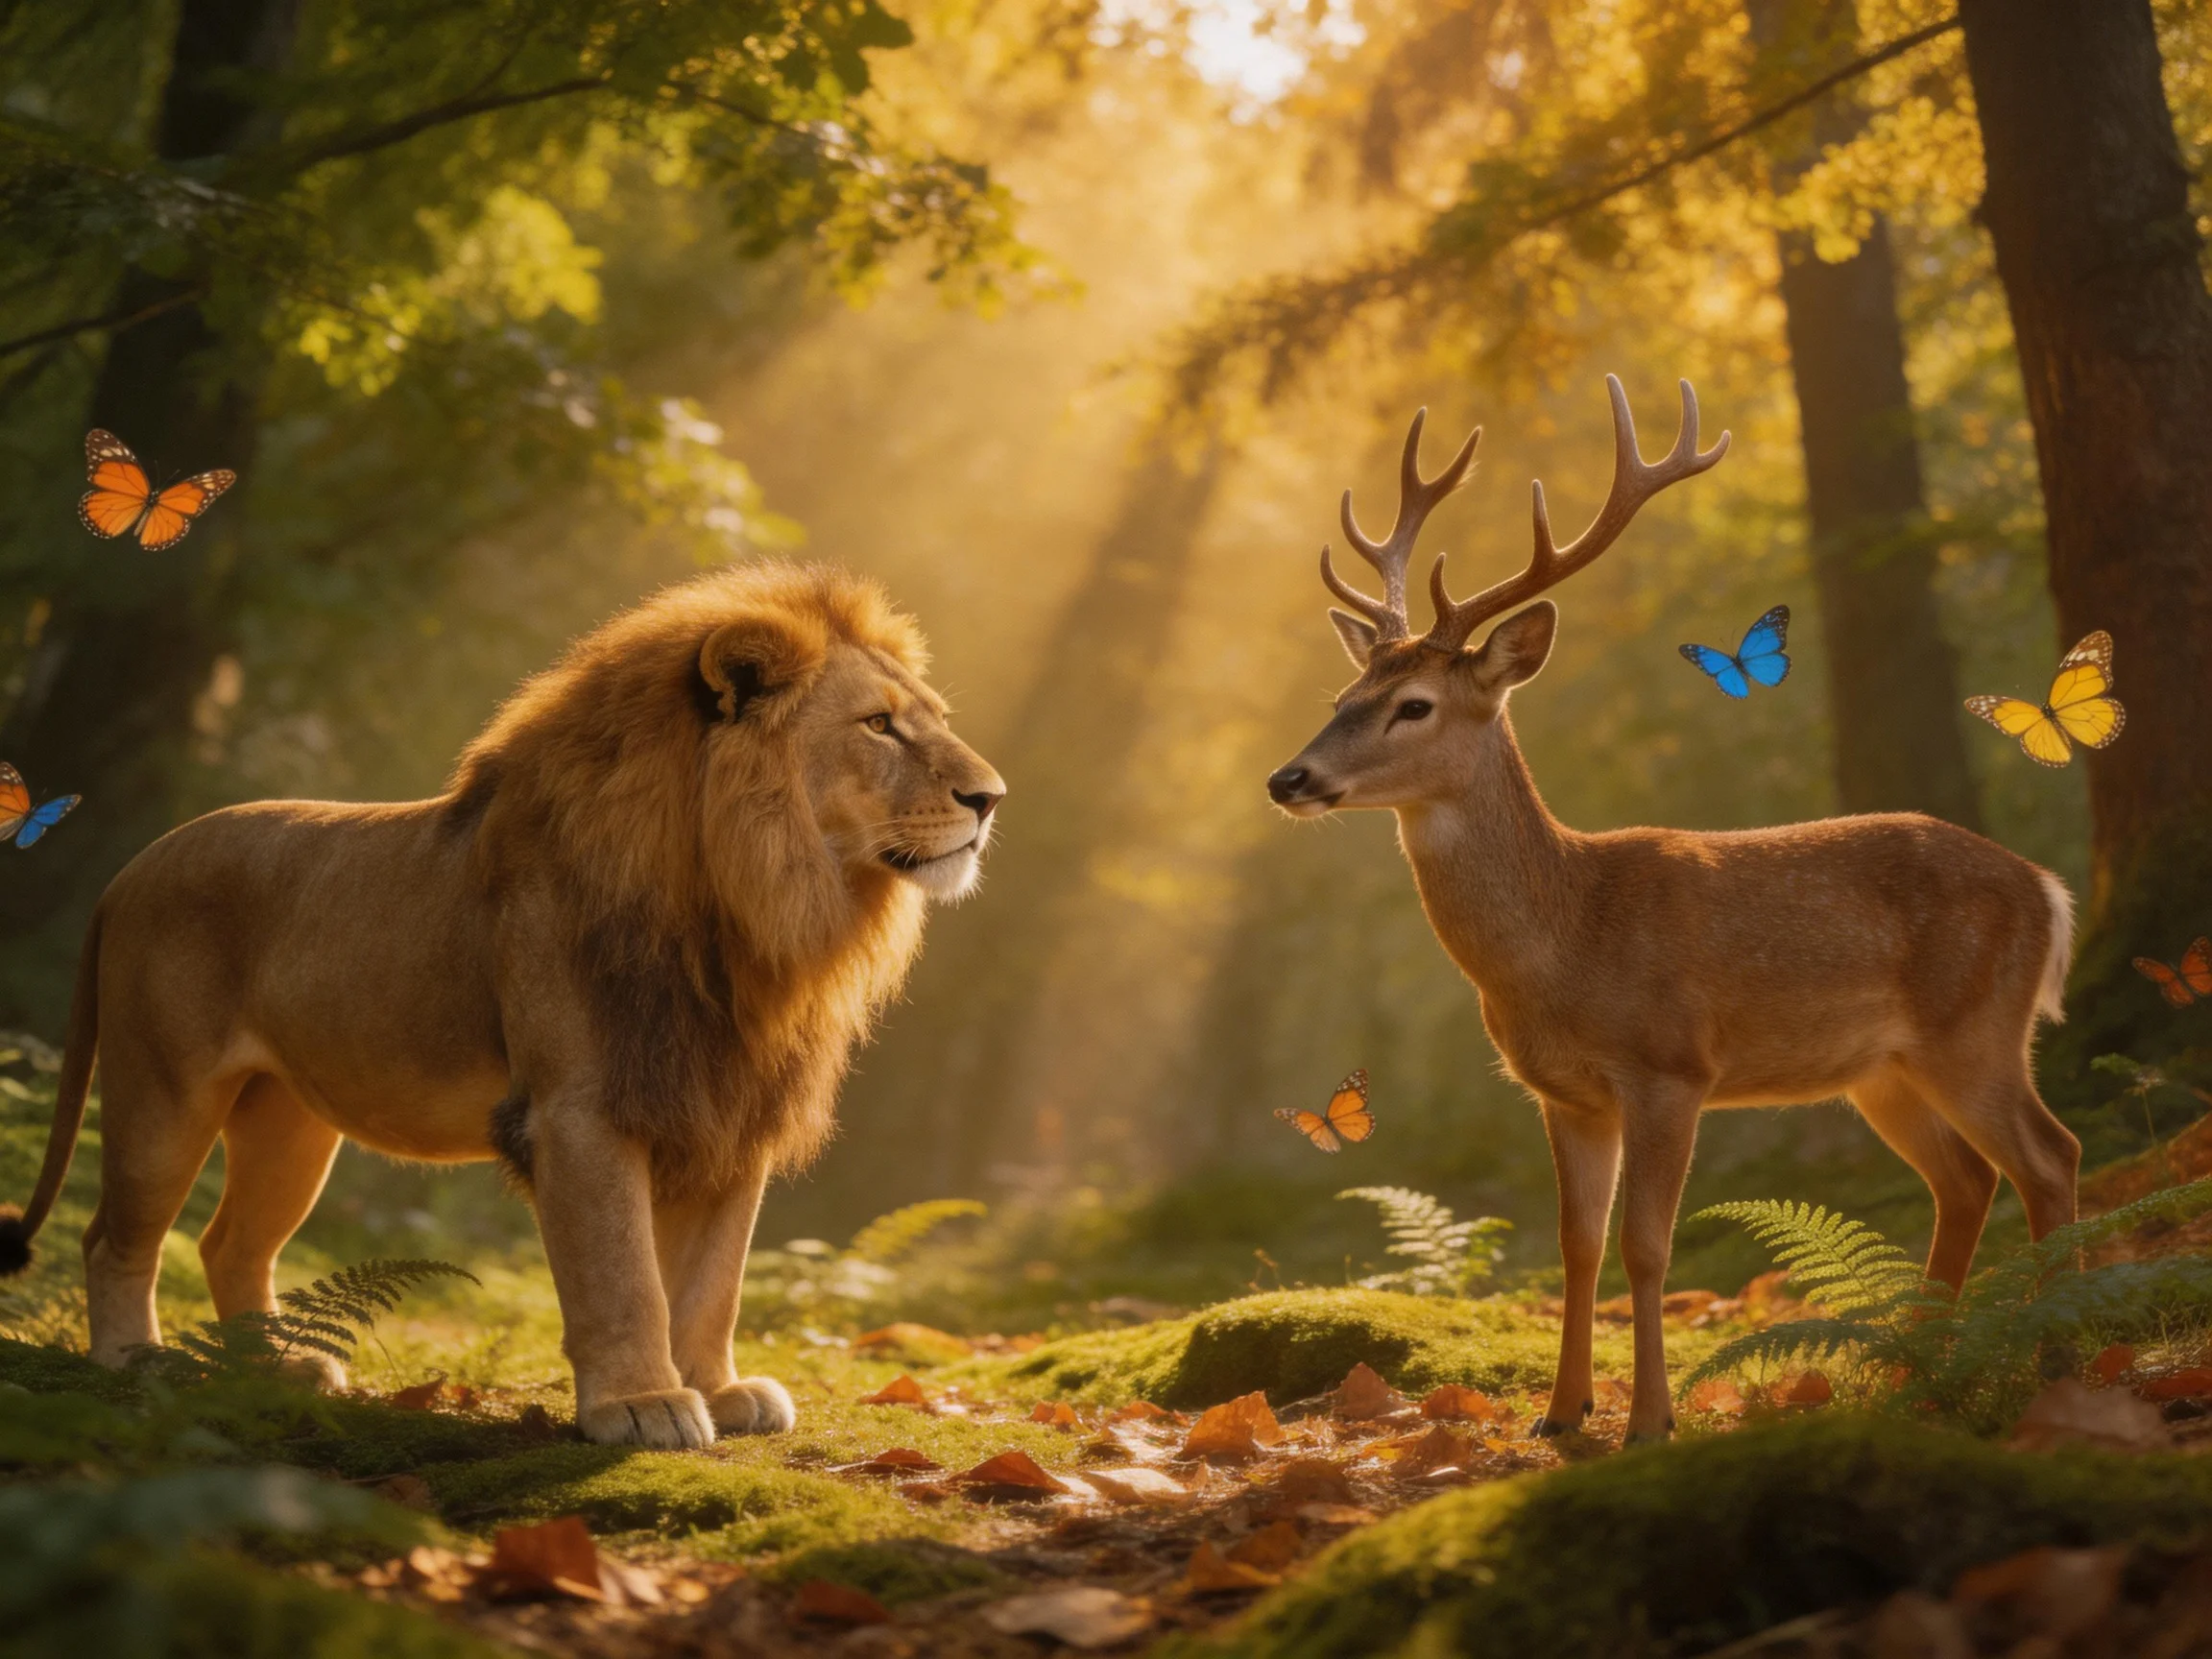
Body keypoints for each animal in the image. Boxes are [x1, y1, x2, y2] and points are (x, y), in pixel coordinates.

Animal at [0, 561, 1003, 1447]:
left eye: (932, 722)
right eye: (879, 725)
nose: (991, 798)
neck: (749, 908)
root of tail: (129, 869)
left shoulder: (727, 1109)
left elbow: (714, 1279)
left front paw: (717, 1389)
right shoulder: (580, 1112)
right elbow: (624, 1274)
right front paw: (642, 1404)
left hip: (288, 1120)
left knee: (228, 1242)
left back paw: (276, 1371)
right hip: (163, 1093)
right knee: (112, 1235)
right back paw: (134, 1361)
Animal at [1265, 377, 2080, 1443]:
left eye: (1415, 706)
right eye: (1341, 695)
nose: (1288, 778)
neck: (1565, 942)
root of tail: (2049, 889)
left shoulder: (1671, 1067)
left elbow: (1646, 1247)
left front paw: (1649, 1420)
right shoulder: (1563, 1094)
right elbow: (1575, 1244)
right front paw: (1560, 1414)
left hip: (1976, 1026)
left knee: (2051, 1157)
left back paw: (2060, 1364)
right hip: (1883, 1068)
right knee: (1966, 1179)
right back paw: (1917, 1376)